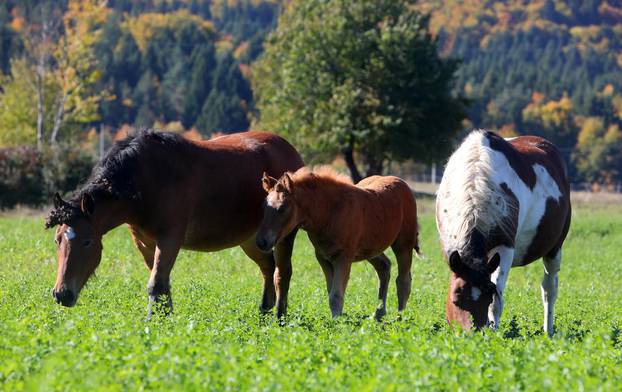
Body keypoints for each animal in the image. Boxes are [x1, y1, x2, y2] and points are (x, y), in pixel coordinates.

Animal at [46, 130, 304, 320]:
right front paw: (166, 320)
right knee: (268, 268)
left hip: (283, 235)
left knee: (282, 273)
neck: (145, 181)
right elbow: (161, 283)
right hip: (251, 240)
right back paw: (263, 313)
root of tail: (291, 151)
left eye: (87, 242)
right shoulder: (144, 242)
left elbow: (156, 284)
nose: (61, 294)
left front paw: (153, 323)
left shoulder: (170, 238)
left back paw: (279, 317)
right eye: (57, 240)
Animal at [256, 167, 422, 320]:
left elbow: (336, 295)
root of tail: (401, 182)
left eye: (282, 208)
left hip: (403, 244)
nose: (261, 242)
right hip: (370, 249)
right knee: (384, 266)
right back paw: (379, 314)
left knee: (403, 281)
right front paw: (337, 320)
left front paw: (336, 324)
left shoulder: (343, 258)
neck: (330, 211)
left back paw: (400, 318)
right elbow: (332, 291)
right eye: (264, 206)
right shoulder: (323, 257)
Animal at [436, 130, 572, 336]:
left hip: (554, 249)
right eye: (456, 299)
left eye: (488, 296)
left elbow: (497, 302)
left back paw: (548, 331)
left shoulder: (504, 248)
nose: (473, 334)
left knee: (549, 289)